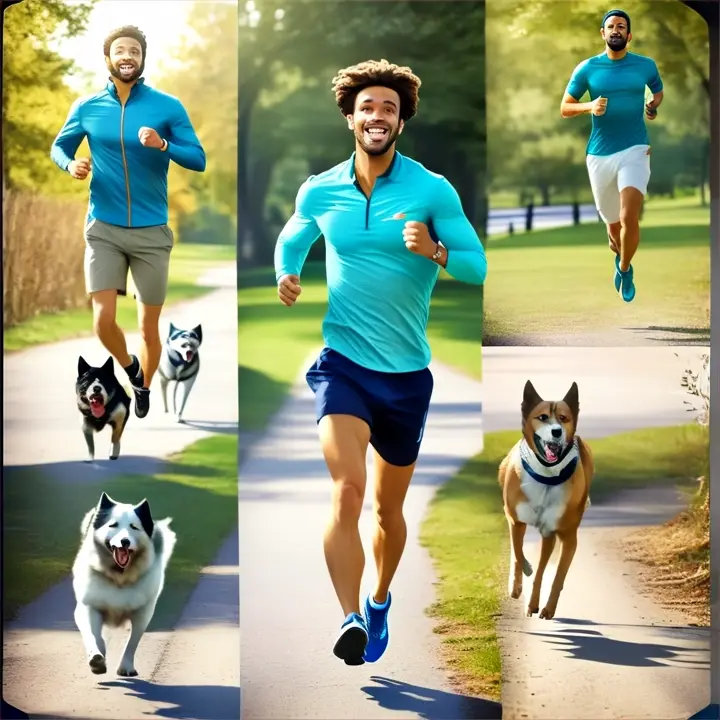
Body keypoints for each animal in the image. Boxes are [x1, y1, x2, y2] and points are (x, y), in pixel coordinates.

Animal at [498, 380, 592, 620]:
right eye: (542, 417)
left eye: (564, 418)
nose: (556, 431)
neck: (547, 476)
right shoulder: (515, 520)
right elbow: (518, 553)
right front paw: (522, 576)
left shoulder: (551, 532)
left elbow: (548, 573)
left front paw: (536, 605)